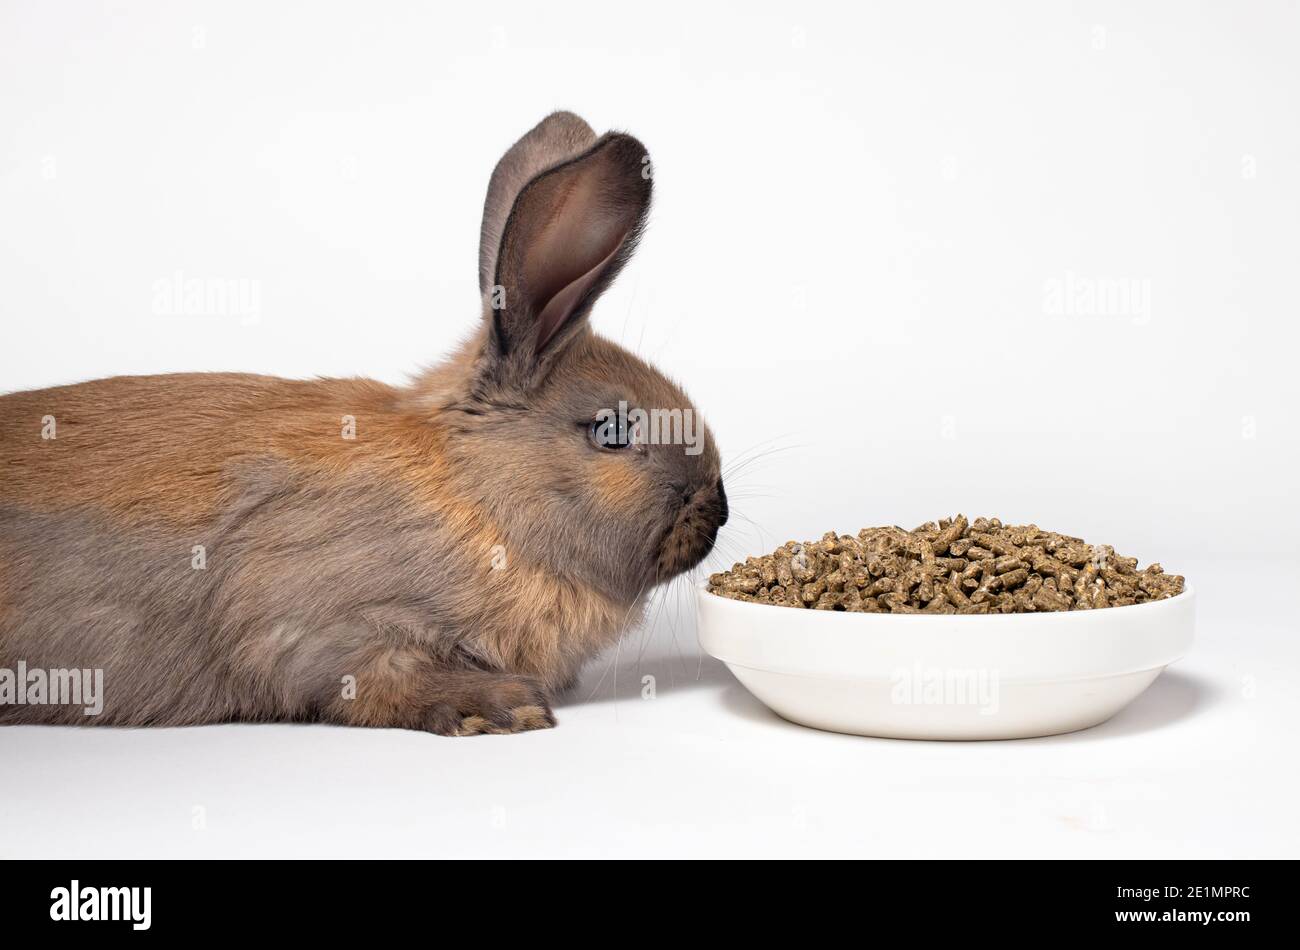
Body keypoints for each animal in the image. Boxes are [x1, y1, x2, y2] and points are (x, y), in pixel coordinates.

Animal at [0, 111, 728, 738]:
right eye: (612, 431)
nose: (717, 509)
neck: (483, 502)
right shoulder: (322, 619)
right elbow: (373, 677)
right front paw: (501, 708)